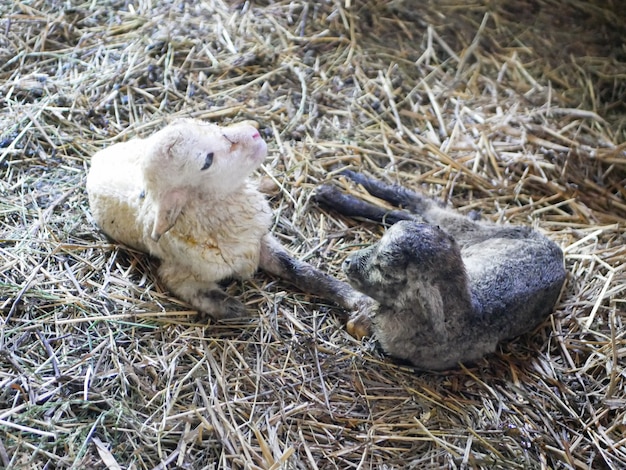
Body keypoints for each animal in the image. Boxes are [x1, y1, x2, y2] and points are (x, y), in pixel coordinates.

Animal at [88, 119, 370, 322]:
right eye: (207, 161)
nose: (254, 134)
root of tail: (97, 157)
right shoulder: (178, 273)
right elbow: (201, 293)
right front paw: (238, 311)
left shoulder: (258, 243)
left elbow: (301, 270)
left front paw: (351, 296)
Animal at [314, 170, 564, 370]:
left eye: (385, 270)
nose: (348, 262)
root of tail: (558, 253)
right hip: (470, 234)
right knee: (417, 209)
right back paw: (347, 183)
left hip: (468, 233)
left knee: (422, 208)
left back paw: (335, 191)